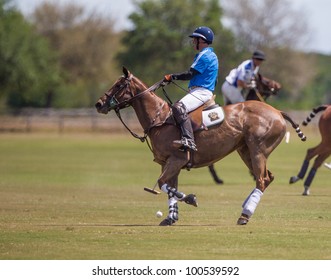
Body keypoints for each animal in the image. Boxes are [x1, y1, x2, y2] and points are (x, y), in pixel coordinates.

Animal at [95, 67, 306, 225]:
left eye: (119, 85)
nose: (99, 104)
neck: (160, 119)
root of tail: (278, 112)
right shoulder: (168, 162)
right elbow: (170, 186)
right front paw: (171, 217)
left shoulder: (177, 158)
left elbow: (163, 184)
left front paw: (190, 199)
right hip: (245, 150)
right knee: (267, 177)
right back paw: (244, 207)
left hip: (258, 150)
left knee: (262, 179)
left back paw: (244, 214)